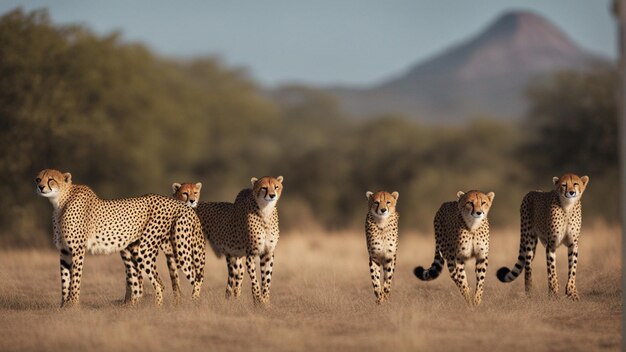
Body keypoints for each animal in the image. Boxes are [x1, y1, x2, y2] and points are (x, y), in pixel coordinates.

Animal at [35, 169, 206, 306]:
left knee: (183, 280)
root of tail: (182, 206)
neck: (60, 201)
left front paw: (73, 305)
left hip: (158, 250)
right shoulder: (64, 251)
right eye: (38, 178)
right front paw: (63, 306)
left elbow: (75, 279)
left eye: (51, 179)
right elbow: (65, 280)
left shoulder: (77, 249)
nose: (40, 186)